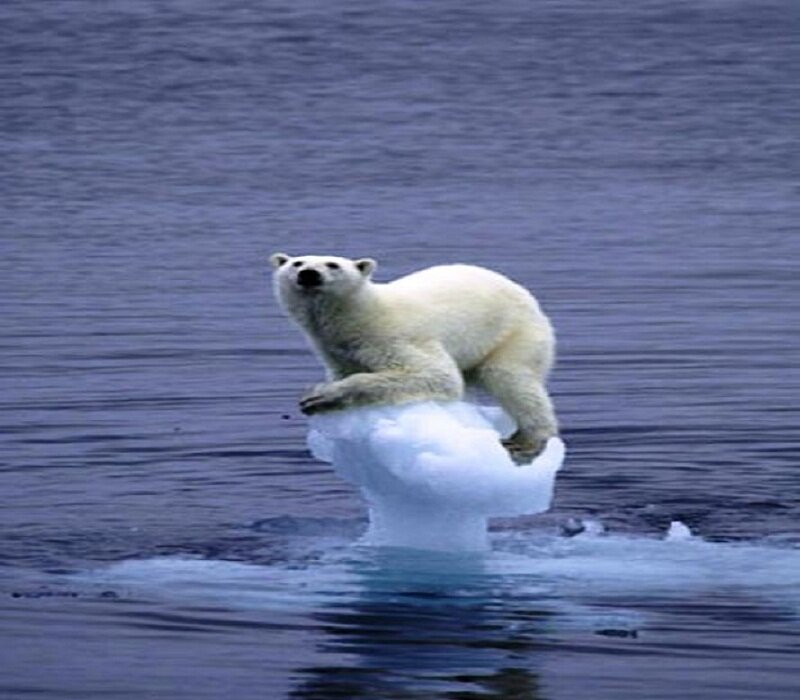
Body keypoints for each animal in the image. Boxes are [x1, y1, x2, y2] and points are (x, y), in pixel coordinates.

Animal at [269, 253, 558, 461]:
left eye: (333, 264)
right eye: (297, 262)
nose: (308, 274)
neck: (358, 316)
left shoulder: (394, 337)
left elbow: (435, 375)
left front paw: (319, 396)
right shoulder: (336, 350)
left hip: (514, 332)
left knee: (512, 379)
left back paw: (527, 441)